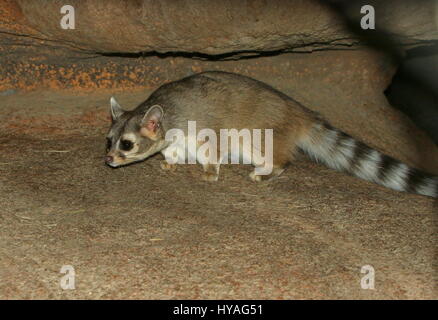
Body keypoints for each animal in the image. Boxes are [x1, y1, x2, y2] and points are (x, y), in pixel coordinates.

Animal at [104, 70, 436, 198]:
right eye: (108, 140)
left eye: (127, 144)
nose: (108, 160)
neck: (165, 111)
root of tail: (299, 111)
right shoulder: (173, 136)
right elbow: (171, 150)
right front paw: (170, 161)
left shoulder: (200, 127)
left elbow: (211, 149)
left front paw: (210, 170)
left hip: (257, 135)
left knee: (279, 158)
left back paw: (268, 170)